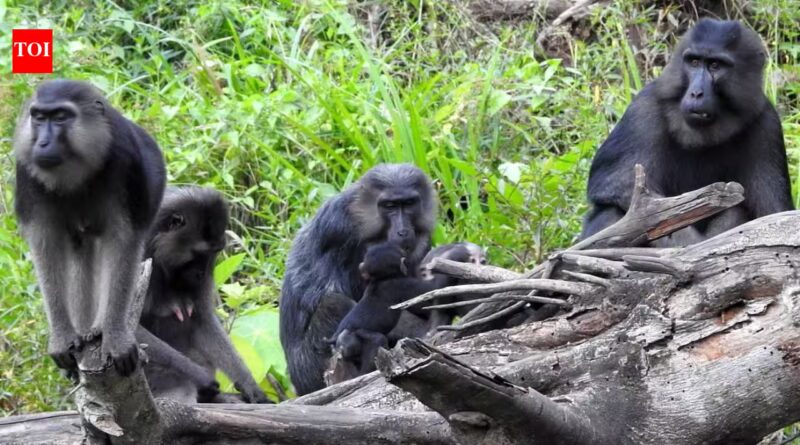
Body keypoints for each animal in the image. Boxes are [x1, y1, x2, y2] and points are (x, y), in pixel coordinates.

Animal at [14, 79, 166, 376]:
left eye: (61, 117)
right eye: (39, 117)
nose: (43, 142)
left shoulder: (125, 161)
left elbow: (123, 241)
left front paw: (115, 337)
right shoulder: (27, 170)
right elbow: (45, 245)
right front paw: (62, 338)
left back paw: (98, 328)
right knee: (80, 249)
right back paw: (84, 331)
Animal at [138, 186, 269, 403]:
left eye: (215, 252)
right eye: (199, 253)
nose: (201, 273)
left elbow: (203, 322)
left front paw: (249, 385)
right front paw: (200, 376)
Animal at [581, 19, 792, 246]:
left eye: (715, 65)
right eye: (694, 62)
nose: (696, 93)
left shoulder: (767, 125)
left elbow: (773, 214)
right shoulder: (644, 109)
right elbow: (620, 186)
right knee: (610, 211)